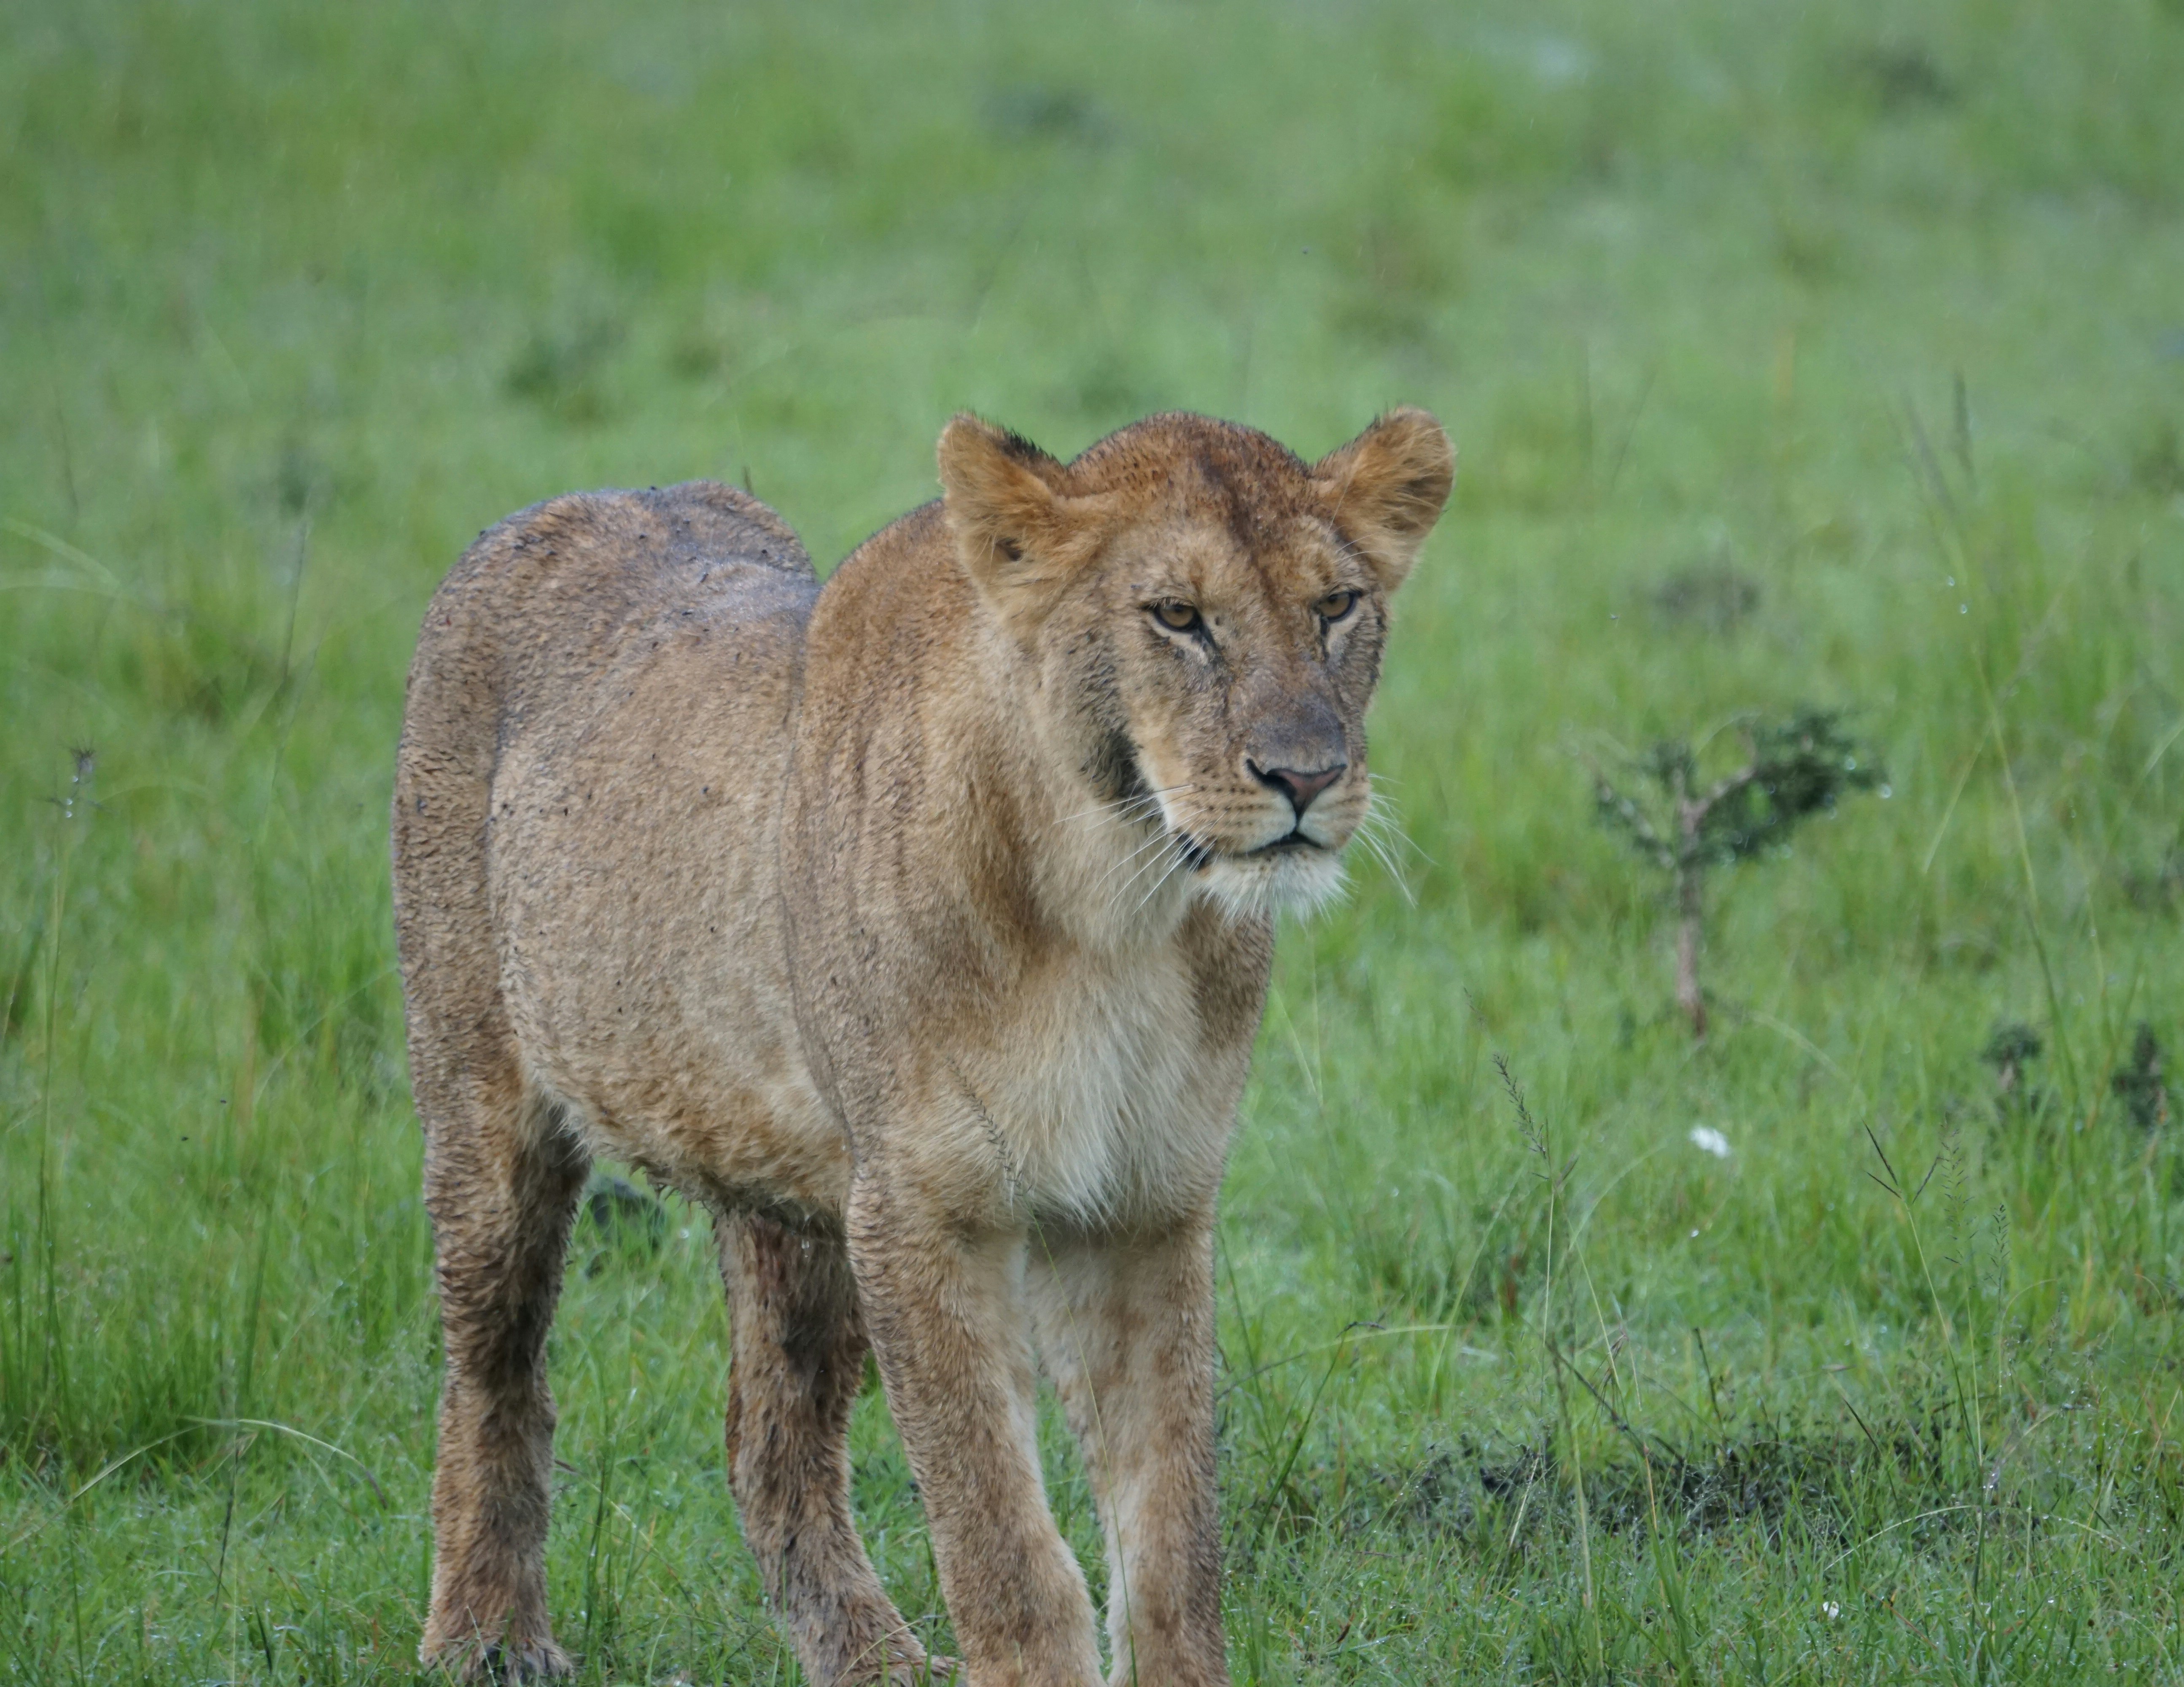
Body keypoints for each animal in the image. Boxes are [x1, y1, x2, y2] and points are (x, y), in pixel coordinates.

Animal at [391, 407, 1453, 1686]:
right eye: (1177, 616)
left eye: (1334, 605)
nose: (1304, 775)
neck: (1116, 902)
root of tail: (583, 497)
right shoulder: (920, 1211)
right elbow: (1002, 1540)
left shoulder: (1144, 1208)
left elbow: (1171, 1533)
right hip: (486, 1109)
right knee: (492, 1375)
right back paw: (485, 1638)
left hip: (792, 1190)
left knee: (769, 1438)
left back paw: (871, 1661)